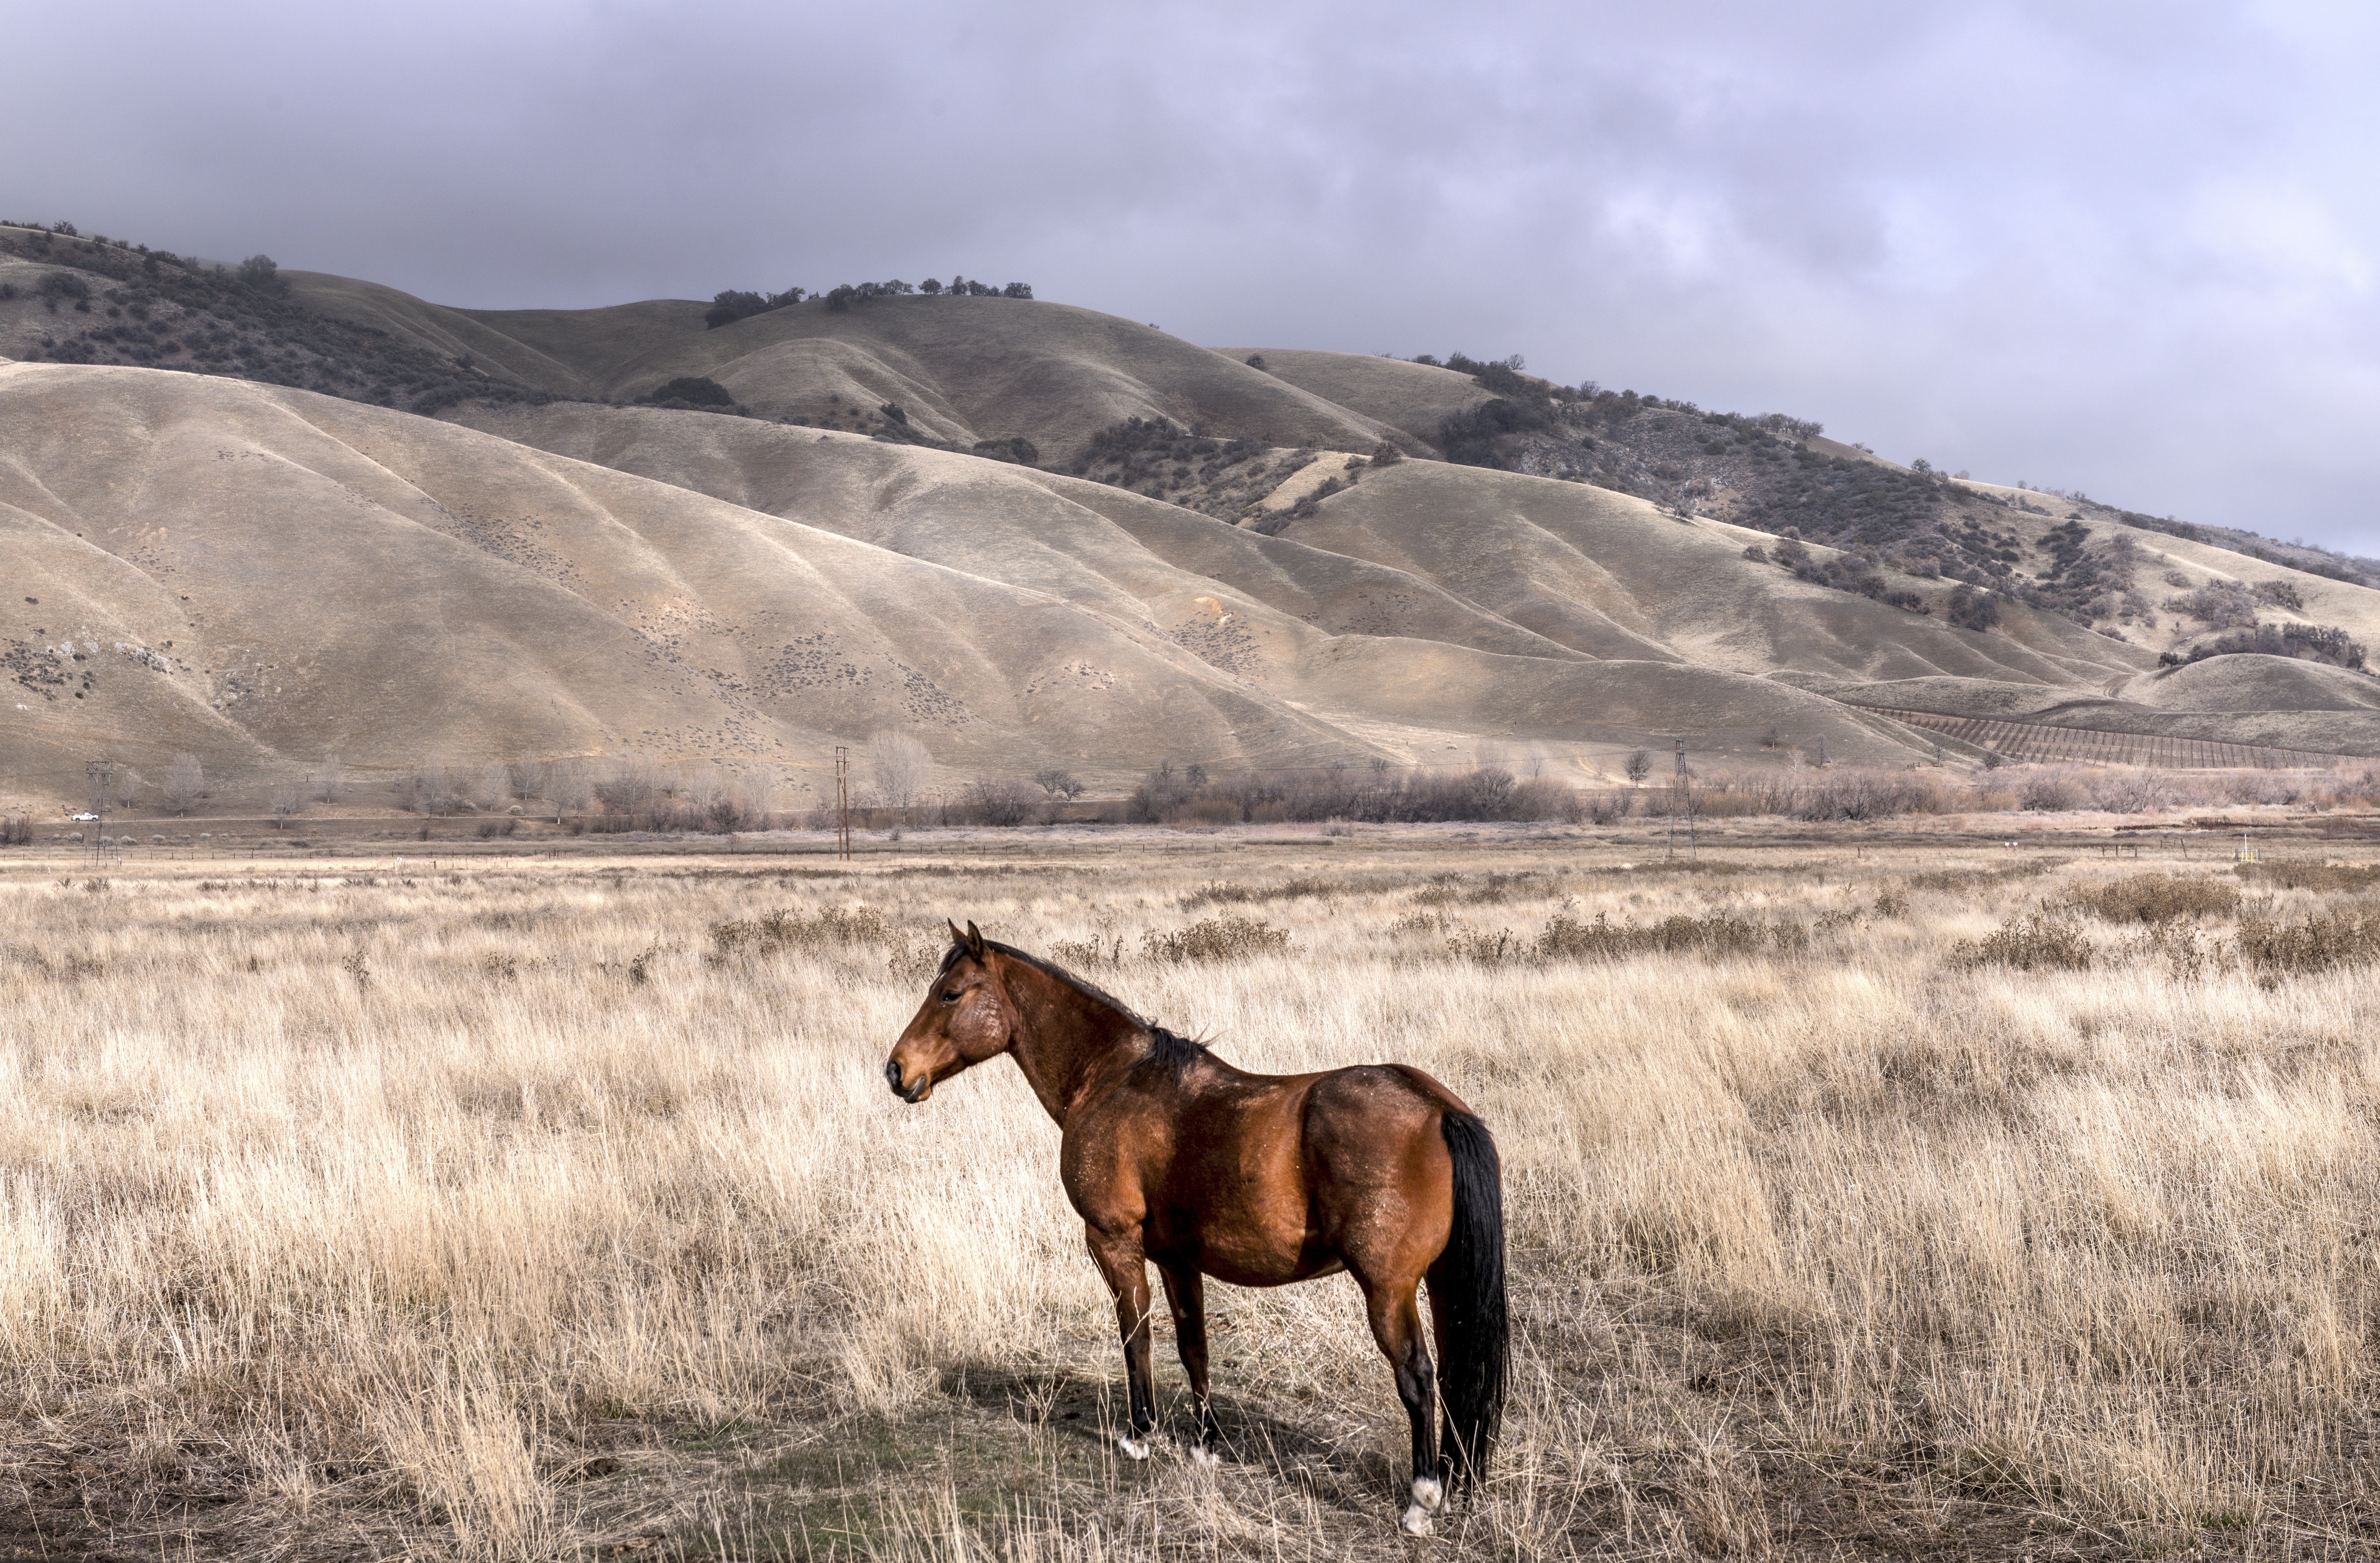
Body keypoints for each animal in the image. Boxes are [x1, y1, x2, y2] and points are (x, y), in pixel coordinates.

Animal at [885, 918, 1494, 1532]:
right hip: (1440, 1282)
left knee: (1417, 1377)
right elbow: (1193, 1346)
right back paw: (1453, 1478)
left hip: (1387, 1289)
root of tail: (1438, 1108)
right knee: (1453, 1374)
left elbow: (1136, 1335)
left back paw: (1421, 1499)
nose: (896, 1070)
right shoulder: (1178, 1259)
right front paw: (1204, 1443)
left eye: (950, 994)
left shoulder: (1113, 1241)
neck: (1112, 1077)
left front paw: (1140, 1435)